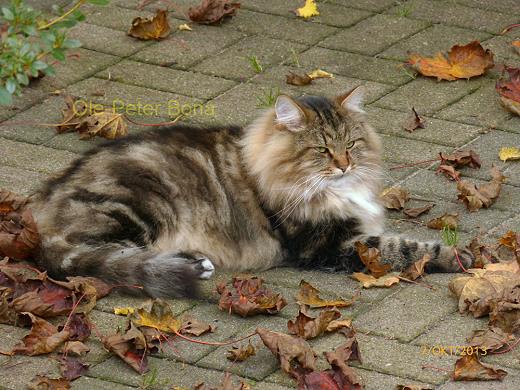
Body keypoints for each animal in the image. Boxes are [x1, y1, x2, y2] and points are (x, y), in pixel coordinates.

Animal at [29, 87, 476, 298]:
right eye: (321, 150)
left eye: (350, 145)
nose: (344, 166)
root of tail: (43, 205)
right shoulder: (329, 244)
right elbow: (406, 248)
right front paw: (461, 256)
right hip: (139, 207)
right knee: (109, 256)